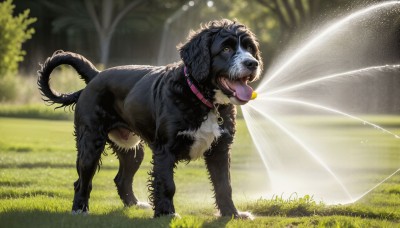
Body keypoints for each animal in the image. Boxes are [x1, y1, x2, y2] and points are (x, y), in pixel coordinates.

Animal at [37, 19, 262, 219]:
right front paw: (166, 213)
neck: (200, 97)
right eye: (226, 49)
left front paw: (232, 214)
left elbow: (225, 185)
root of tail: (96, 75)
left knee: (121, 179)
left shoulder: (220, 150)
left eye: (250, 48)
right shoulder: (165, 149)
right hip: (90, 144)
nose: (253, 63)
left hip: (132, 150)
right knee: (82, 181)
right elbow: (167, 184)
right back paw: (80, 209)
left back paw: (134, 204)